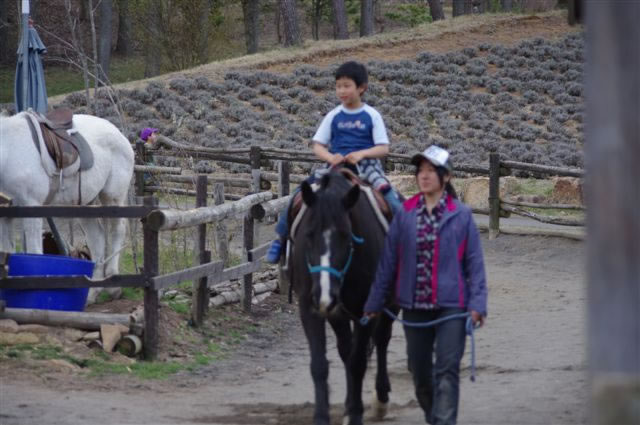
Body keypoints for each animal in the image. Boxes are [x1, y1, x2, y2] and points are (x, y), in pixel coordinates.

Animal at [0, 111, 133, 300]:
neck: (8, 151)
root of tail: (117, 132)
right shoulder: (5, 215)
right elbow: (6, 252)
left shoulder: (31, 206)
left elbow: (34, 251)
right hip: (85, 204)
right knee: (97, 237)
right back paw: (92, 293)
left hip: (112, 196)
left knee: (117, 230)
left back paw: (113, 284)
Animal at [288, 170, 396, 424]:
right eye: (309, 234)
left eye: (346, 235)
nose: (325, 295)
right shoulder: (309, 308)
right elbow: (320, 364)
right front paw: (322, 416)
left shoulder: (366, 310)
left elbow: (358, 363)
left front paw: (355, 414)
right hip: (338, 314)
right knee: (347, 349)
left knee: (382, 340)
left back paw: (380, 400)